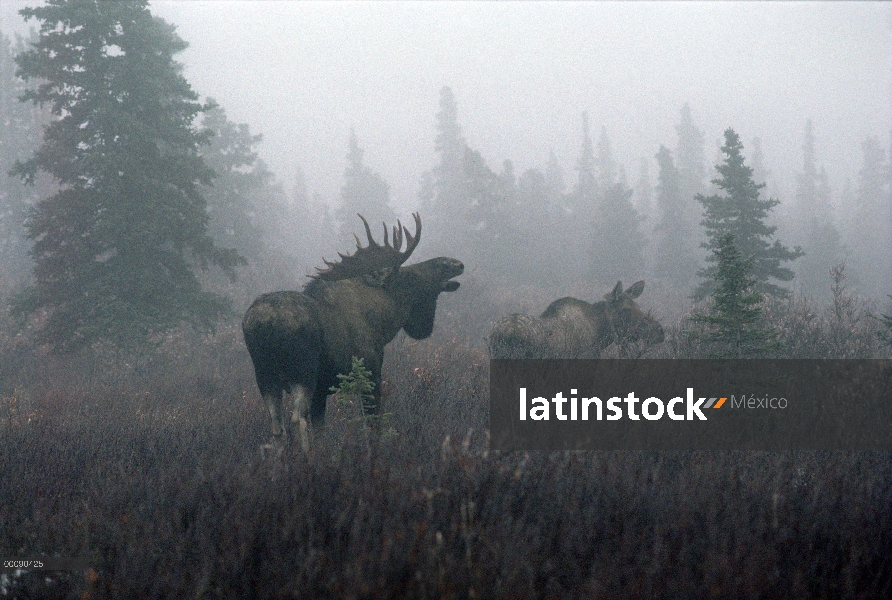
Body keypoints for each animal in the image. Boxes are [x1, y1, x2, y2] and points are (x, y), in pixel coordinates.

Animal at [244, 212, 466, 450]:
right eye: (411, 276)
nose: (456, 263)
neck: (383, 323)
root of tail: (264, 325)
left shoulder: (321, 390)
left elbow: (320, 431)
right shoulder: (370, 371)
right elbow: (372, 425)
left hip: (265, 376)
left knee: (277, 427)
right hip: (302, 372)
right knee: (296, 420)